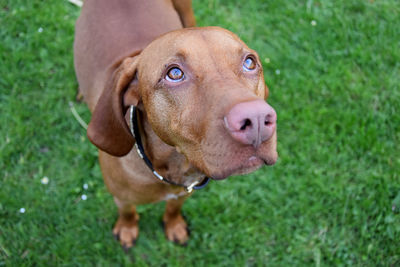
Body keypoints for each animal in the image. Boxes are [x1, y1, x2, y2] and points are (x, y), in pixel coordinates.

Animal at [73, 0, 276, 249]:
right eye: (175, 73)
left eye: (249, 62)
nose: (257, 120)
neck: (173, 167)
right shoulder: (121, 197)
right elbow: (128, 212)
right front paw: (127, 228)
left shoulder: (185, 191)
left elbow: (173, 208)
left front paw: (174, 225)